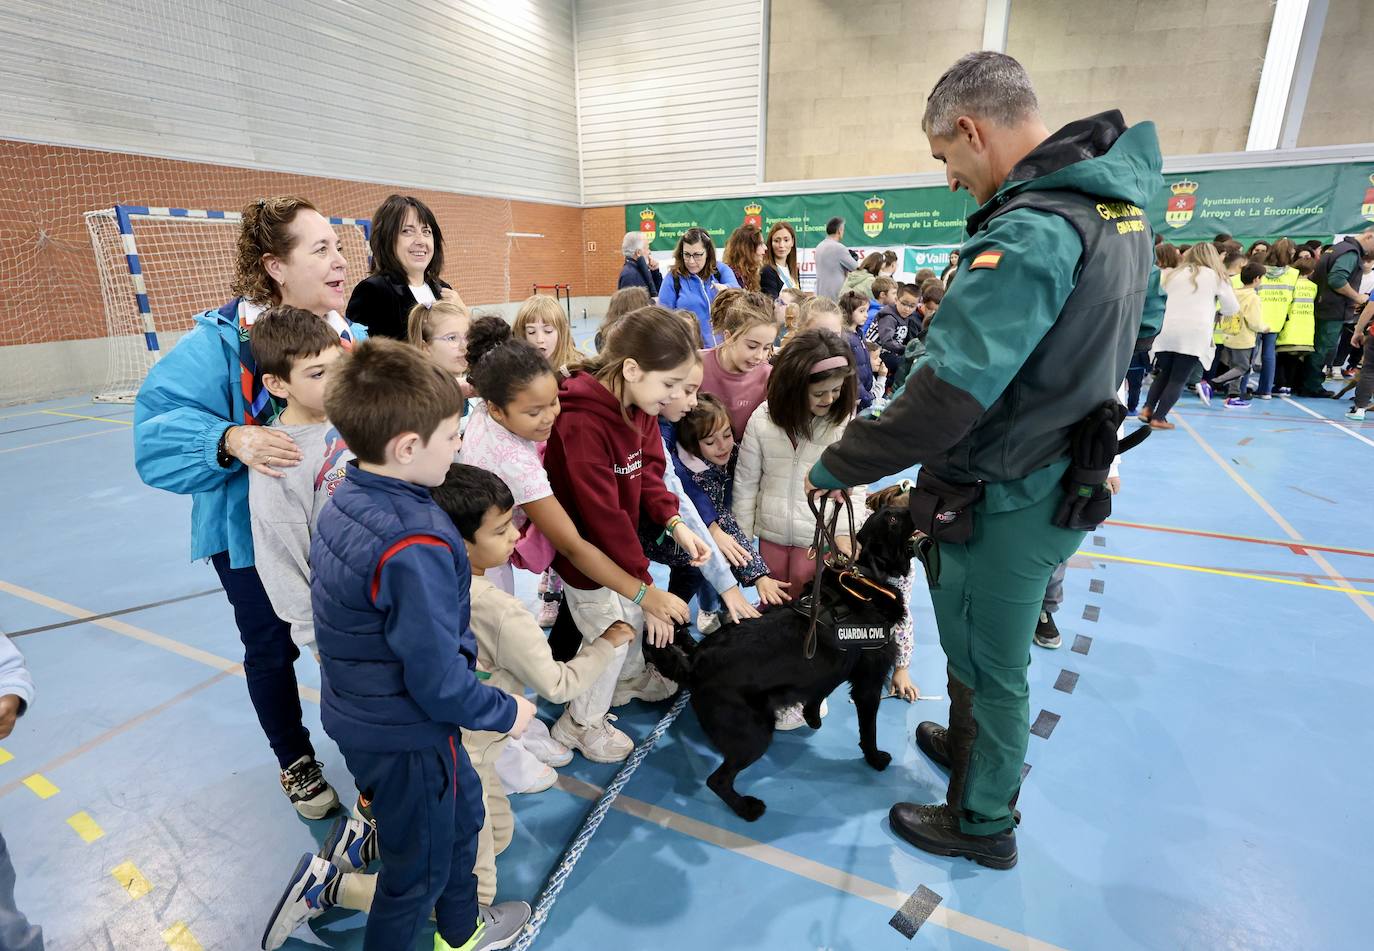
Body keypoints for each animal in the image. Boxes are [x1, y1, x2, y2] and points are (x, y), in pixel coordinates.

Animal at [643, 500, 912, 819]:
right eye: (893, 519)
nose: (913, 502)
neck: (865, 576)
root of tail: (695, 661)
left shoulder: (827, 672)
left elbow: (819, 690)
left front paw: (812, 716)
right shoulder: (869, 684)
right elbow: (869, 730)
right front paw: (874, 758)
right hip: (754, 733)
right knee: (717, 780)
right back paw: (747, 808)